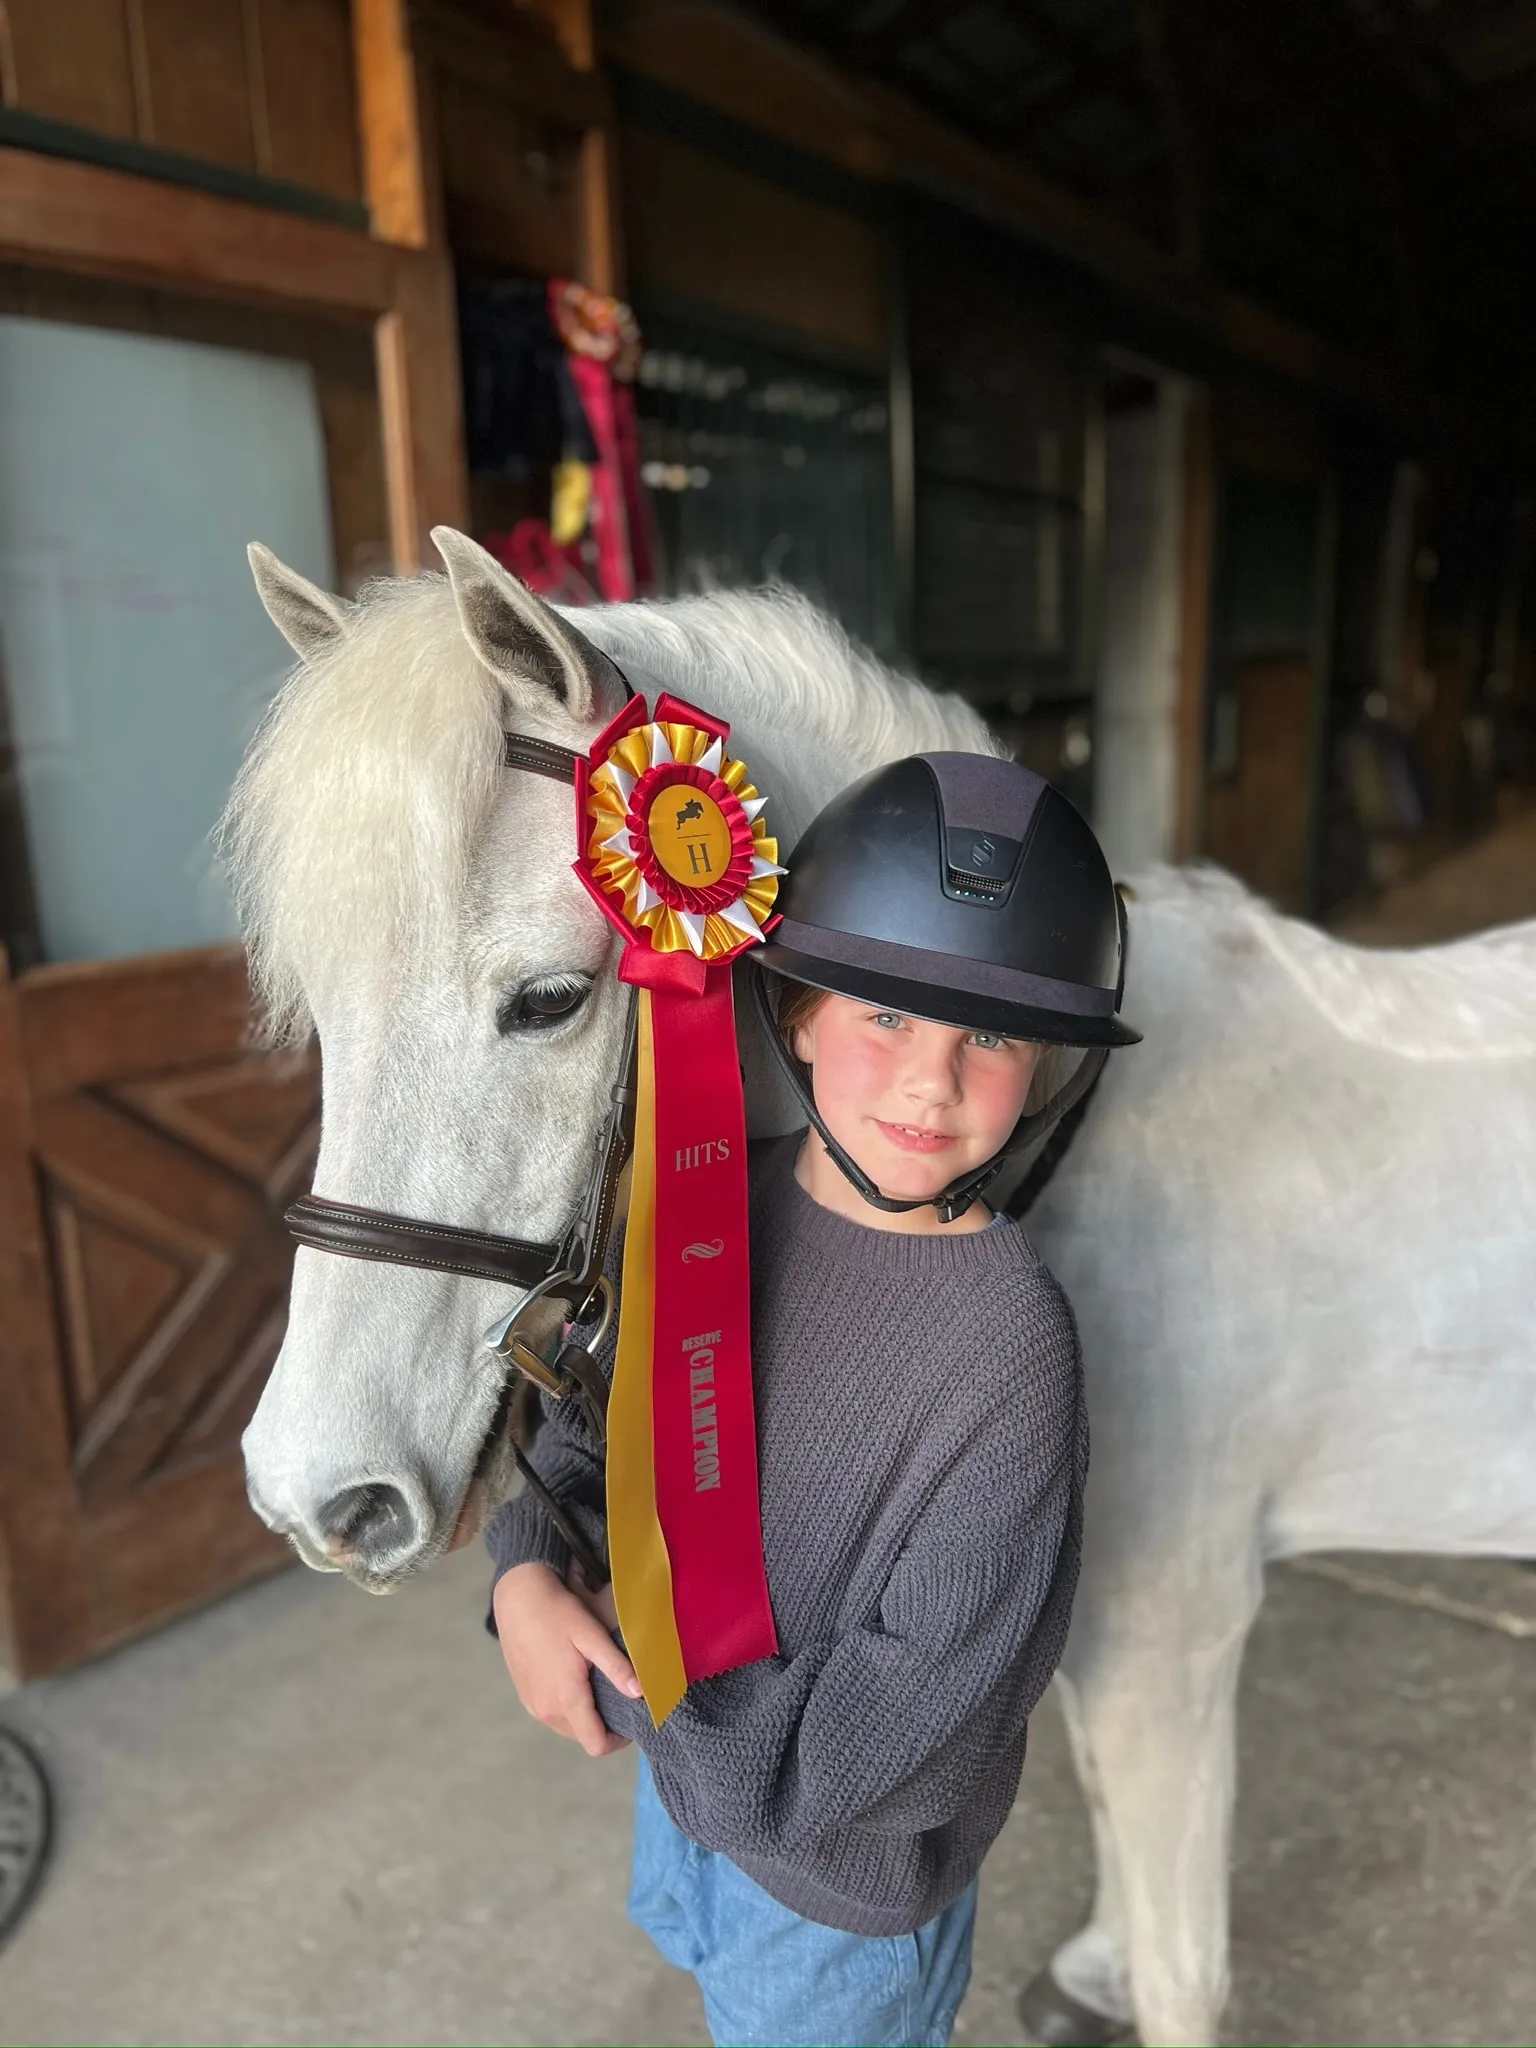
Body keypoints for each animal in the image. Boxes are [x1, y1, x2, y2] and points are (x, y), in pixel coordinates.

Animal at [227, 529, 1536, 2048]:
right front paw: (1093, 1965)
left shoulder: (1174, 1632)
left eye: (549, 1000)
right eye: (319, 1008)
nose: (323, 1494)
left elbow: (1180, 1961)